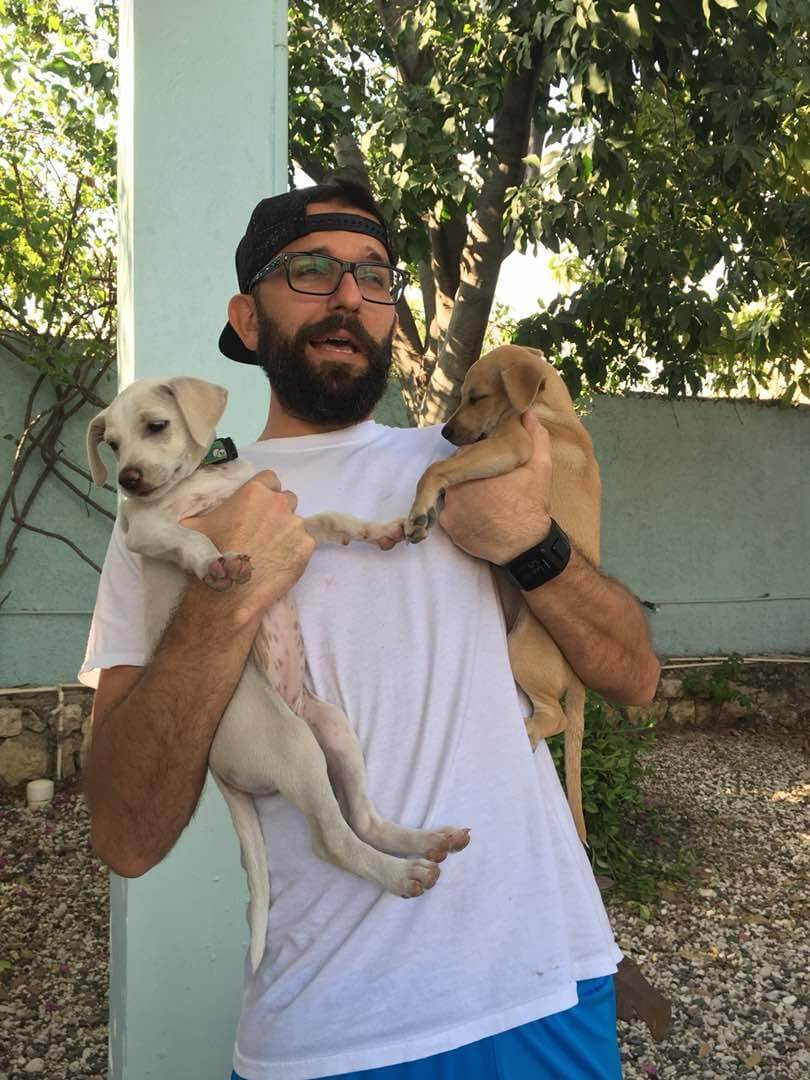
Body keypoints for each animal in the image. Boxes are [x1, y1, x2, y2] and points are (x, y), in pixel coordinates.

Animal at [87, 378, 468, 972]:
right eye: (112, 445)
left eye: (155, 426)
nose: (126, 481)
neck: (202, 482)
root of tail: (216, 767)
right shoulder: (144, 530)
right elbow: (188, 538)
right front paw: (215, 563)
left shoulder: (297, 528)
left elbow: (332, 519)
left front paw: (378, 529)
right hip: (294, 744)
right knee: (331, 840)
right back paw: (401, 873)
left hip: (332, 727)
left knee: (362, 819)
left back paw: (422, 842)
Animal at [406, 345, 604, 842]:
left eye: (477, 396)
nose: (445, 432)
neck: (551, 410)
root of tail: (578, 677)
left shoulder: (512, 444)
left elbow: (437, 468)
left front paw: (420, 510)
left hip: (521, 652)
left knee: (555, 717)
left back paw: (530, 730)